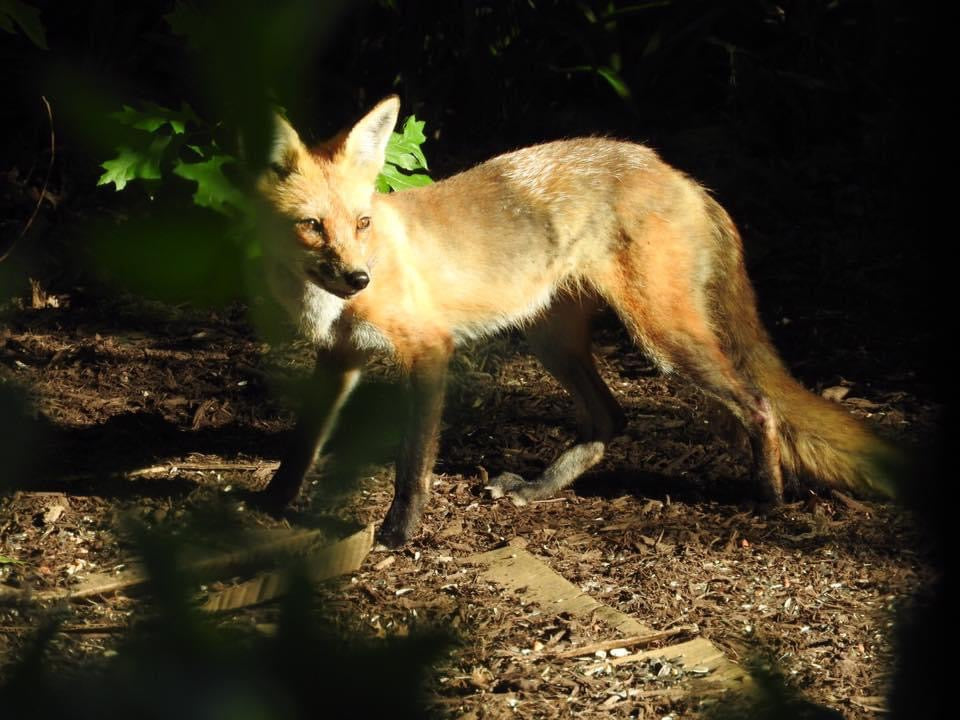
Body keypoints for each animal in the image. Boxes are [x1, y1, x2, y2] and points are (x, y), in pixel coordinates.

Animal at [253, 94, 900, 544]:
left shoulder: (430, 350)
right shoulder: (339, 357)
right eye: (312, 226)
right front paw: (268, 505)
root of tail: (676, 172)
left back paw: (769, 500)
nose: (359, 278)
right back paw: (539, 488)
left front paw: (399, 533)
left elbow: (413, 464)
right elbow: (302, 444)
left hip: (660, 337)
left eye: (362, 223)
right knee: (613, 417)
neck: (329, 303)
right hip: (552, 341)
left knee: (759, 405)